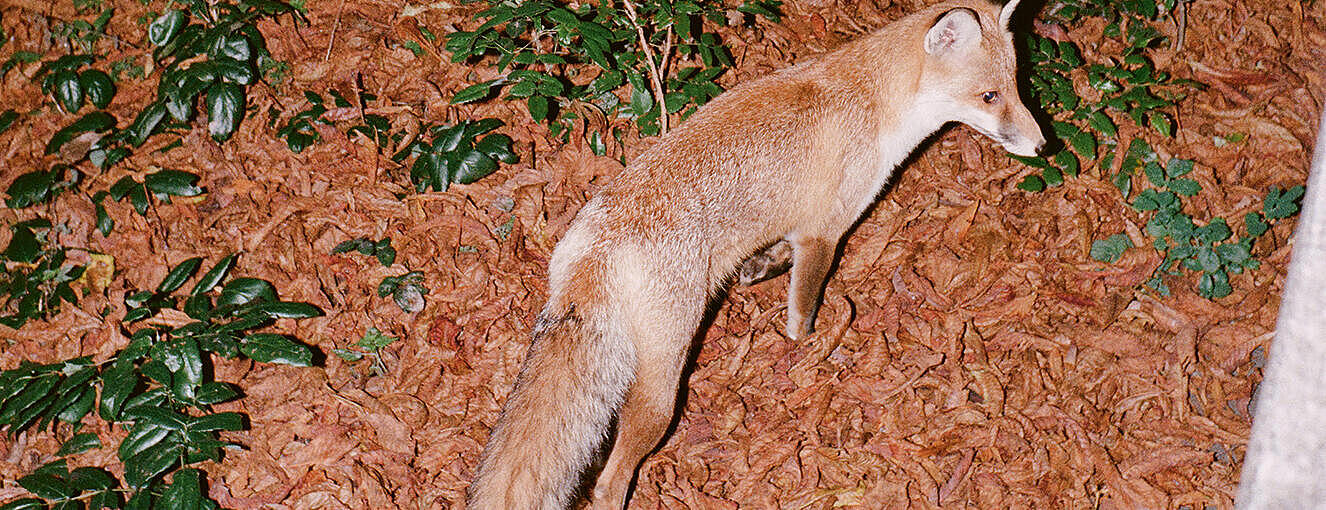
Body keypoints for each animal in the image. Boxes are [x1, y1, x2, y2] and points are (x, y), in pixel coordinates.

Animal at [466, 0, 1044, 506]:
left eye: (1016, 87)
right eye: (989, 96)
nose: (1043, 146)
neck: (876, 105)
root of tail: (597, 248)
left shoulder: (800, 228)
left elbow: (776, 257)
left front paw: (760, 268)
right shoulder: (825, 232)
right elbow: (803, 311)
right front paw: (808, 351)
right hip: (662, 387)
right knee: (609, 482)